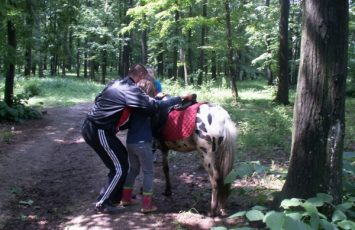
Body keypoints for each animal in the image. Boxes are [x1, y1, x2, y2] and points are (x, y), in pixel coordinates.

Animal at [138, 78, 238, 216]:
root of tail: (223, 119)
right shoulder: (164, 149)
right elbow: (165, 169)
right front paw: (168, 190)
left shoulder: (151, 147)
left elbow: (146, 169)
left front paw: (143, 189)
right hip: (218, 155)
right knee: (223, 179)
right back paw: (221, 208)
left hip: (206, 156)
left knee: (215, 180)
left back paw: (212, 210)